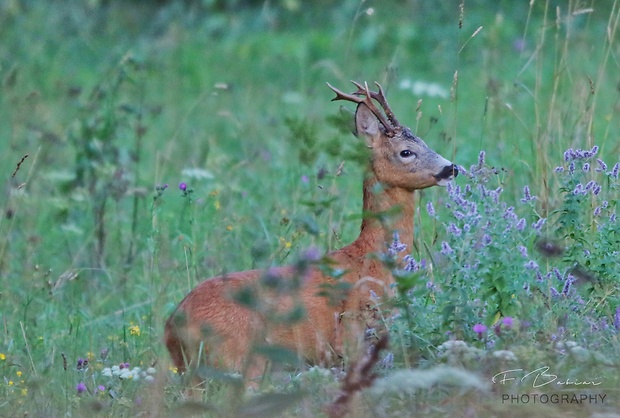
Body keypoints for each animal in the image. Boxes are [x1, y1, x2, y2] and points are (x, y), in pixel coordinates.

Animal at [162, 80, 458, 386]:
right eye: (406, 152)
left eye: (424, 142)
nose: (451, 168)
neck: (371, 260)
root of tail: (172, 326)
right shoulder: (351, 335)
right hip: (237, 360)